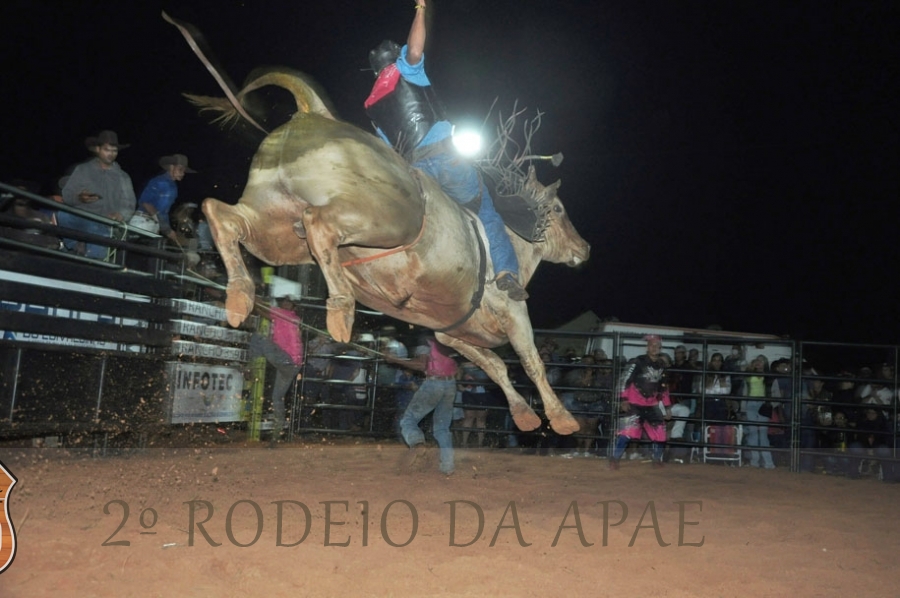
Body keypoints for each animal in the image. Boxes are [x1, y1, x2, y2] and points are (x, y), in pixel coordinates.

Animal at [167, 12, 592, 436]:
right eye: (558, 210)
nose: (584, 248)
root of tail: (313, 111)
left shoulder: (451, 332)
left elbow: (497, 367)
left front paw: (524, 415)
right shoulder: (514, 314)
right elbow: (531, 362)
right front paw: (562, 418)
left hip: (274, 225)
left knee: (222, 215)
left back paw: (240, 296)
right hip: (387, 219)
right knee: (318, 223)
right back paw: (340, 311)